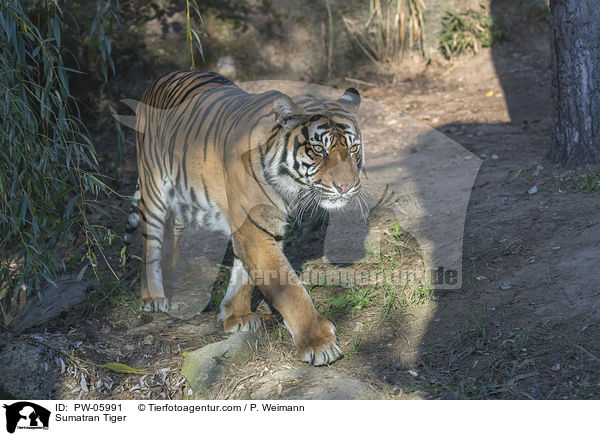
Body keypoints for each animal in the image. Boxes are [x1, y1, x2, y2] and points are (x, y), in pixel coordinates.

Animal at [130, 70, 360, 364]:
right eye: (319, 150)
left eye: (353, 149)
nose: (347, 187)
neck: (289, 185)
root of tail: (162, 77)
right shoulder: (255, 230)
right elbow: (288, 289)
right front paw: (318, 342)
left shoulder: (256, 227)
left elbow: (244, 274)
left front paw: (235, 315)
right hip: (153, 187)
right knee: (149, 244)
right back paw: (153, 298)